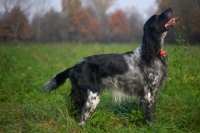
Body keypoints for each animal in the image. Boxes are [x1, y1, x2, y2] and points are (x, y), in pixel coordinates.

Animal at [42, 7, 180, 125]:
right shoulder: (149, 95)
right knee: (81, 121)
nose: (170, 8)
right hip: (92, 97)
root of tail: (74, 67)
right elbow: (151, 118)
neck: (152, 53)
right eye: (156, 16)